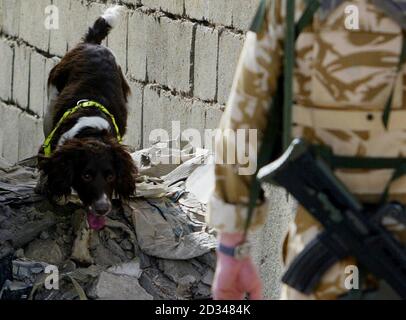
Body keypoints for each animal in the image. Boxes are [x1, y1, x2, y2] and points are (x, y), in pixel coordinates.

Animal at [37, 6, 137, 231]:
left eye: (110, 175)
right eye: (86, 175)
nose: (102, 209)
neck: (91, 131)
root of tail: (92, 44)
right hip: (50, 105)